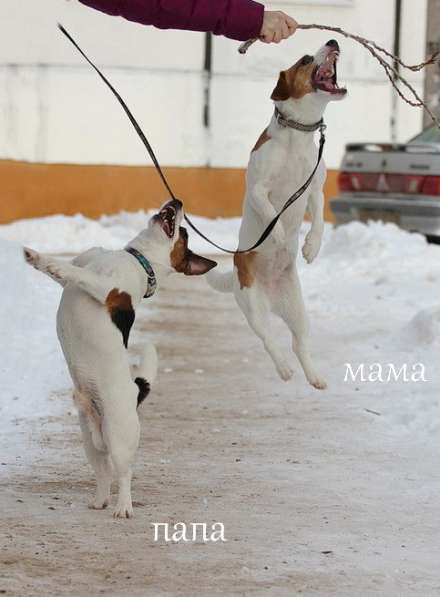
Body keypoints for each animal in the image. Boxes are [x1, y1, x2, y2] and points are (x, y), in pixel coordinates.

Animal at [24, 200, 217, 516]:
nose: (177, 202)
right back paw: (99, 500)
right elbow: (67, 270)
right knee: (103, 472)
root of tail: (135, 393)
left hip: (119, 436)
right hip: (90, 441)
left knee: (124, 473)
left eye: (184, 234)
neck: (138, 260)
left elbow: (72, 271)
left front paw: (42, 258)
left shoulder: (104, 288)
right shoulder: (82, 268)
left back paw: (123, 507)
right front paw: (40, 261)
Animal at [208, 40, 346, 386]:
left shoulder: (315, 190)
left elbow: (319, 222)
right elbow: (272, 213)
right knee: (269, 339)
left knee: (299, 343)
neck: (298, 136)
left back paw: (313, 376)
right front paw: (281, 235)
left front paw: (311, 247)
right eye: (306, 59)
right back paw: (283, 368)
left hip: (297, 310)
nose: (334, 42)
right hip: (253, 308)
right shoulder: (259, 189)